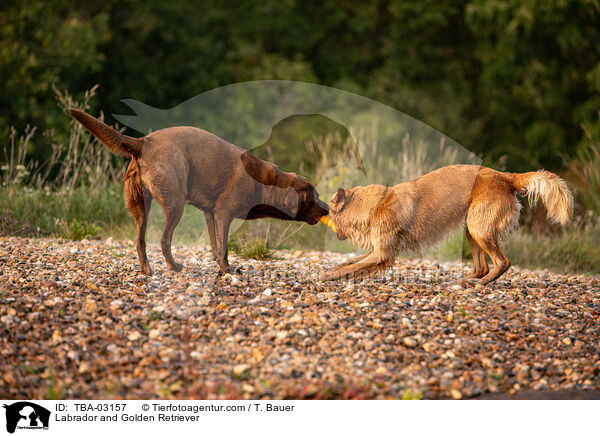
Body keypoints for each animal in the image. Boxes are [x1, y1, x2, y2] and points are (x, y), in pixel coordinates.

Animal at [70, 109, 328, 274]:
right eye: (314, 196)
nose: (328, 207)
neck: (266, 184)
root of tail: (144, 142)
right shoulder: (223, 213)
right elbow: (223, 247)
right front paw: (227, 270)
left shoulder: (210, 213)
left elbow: (216, 244)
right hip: (175, 203)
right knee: (164, 239)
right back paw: (173, 267)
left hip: (139, 205)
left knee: (140, 240)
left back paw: (147, 270)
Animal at [322, 165, 576, 284]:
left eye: (331, 210)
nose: (321, 210)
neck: (372, 205)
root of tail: (505, 176)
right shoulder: (378, 250)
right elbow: (351, 262)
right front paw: (334, 270)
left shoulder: (382, 253)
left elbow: (352, 266)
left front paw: (328, 276)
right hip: (470, 229)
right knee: (482, 266)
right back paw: (467, 280)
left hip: (478, 227)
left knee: (502, 262)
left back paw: (481, 284)